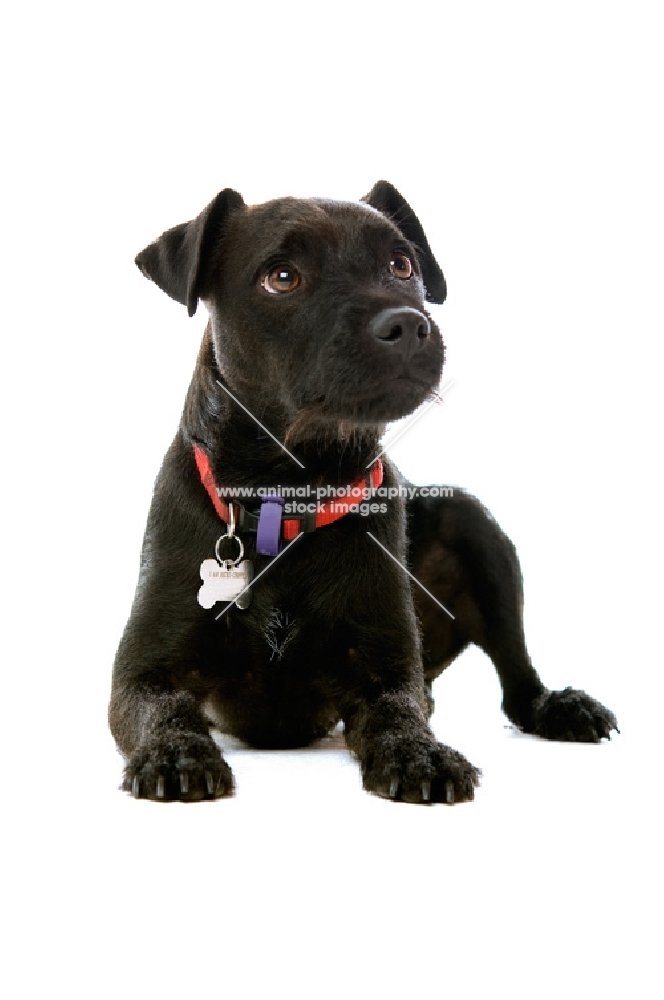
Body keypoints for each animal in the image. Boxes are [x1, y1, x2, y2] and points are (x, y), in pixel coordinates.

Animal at [111, 182, 620, 804]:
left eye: (402, 265)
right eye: (282, 277)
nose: (407, 323)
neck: (290, 494)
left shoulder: (386, 669)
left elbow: (397, 713)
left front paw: (420, 753)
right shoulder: (143, 673)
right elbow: (166, 711)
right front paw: (177, 753)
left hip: (473, 522)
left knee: (516, 679)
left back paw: (557, 707)